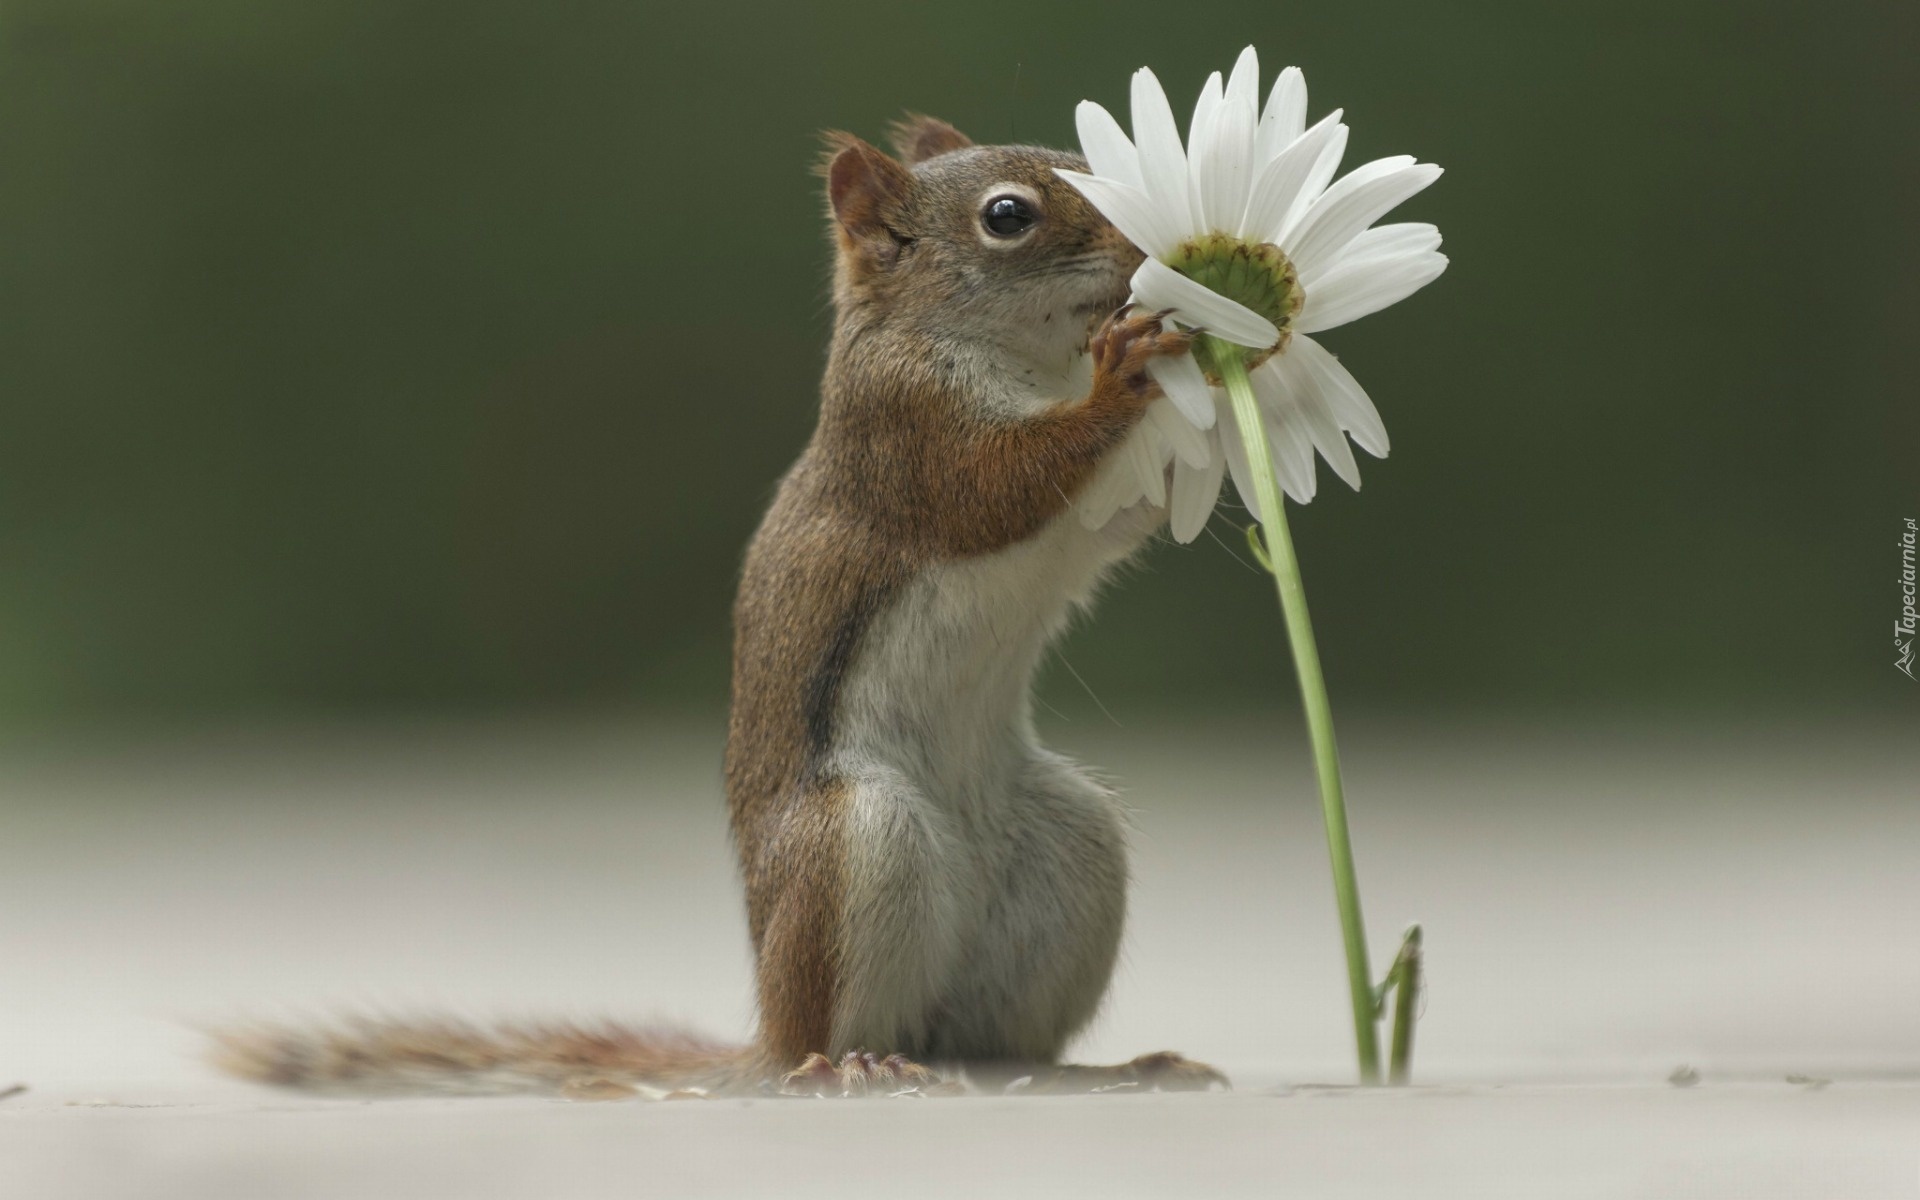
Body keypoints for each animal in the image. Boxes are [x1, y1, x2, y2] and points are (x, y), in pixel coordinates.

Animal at [210, 117, 1228, 1098]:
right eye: (1008, 216)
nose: (1146, 248)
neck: (1021, 360)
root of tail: (764, 1042)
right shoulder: (905, 434)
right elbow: (999, 488)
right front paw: (1126, 374)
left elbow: (1123, 511)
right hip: (851, 842)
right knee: (829, 1034)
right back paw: (850, 1067)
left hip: (1069, 851)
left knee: (996, 1045)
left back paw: (1107, 1070)